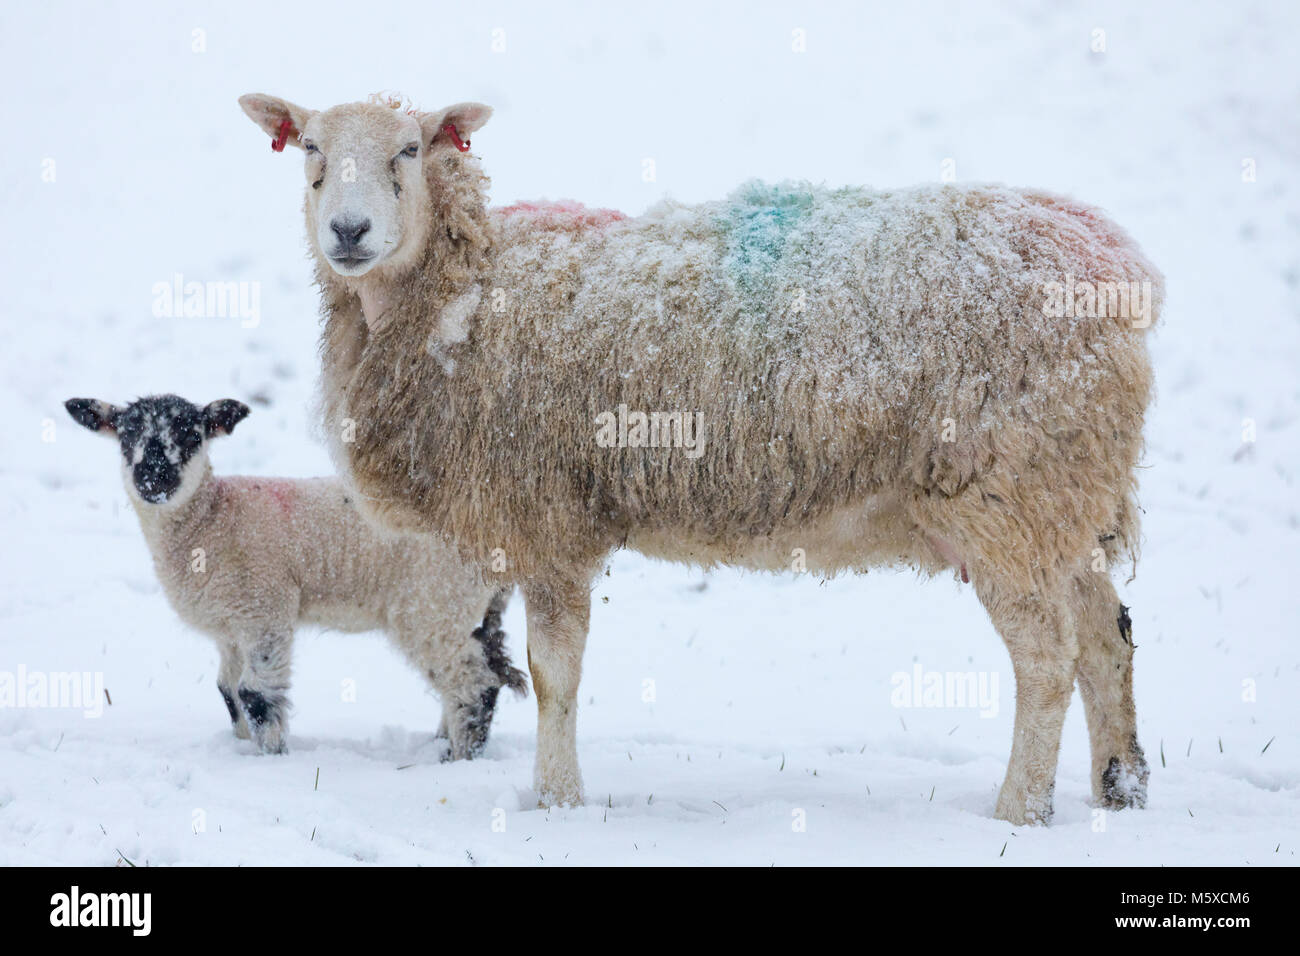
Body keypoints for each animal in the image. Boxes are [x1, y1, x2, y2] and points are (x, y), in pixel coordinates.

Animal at [59, 392, 527, 759]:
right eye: (126, 437)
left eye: (193, 436)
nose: (154, 477)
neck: (212, 520)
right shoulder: (231, 628)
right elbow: (228, 689)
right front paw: (244, 746)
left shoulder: (265, 611)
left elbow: (256, 694)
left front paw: (274, 756)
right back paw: (443, 744)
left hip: (431, 605)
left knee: (473, 683)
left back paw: (458, 758)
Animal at [239, 93, 1164, 827]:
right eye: (310, 146)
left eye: (409, 147)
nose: (349, 231)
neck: (460, 293)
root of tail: (1119, 264)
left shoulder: (551, 517)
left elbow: (555, 675)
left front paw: (558, 802)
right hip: (1063, 496)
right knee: (1107, 637)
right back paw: (1120, 788)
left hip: (1007, 493)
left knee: (1047, 661)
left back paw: (1019, 811)